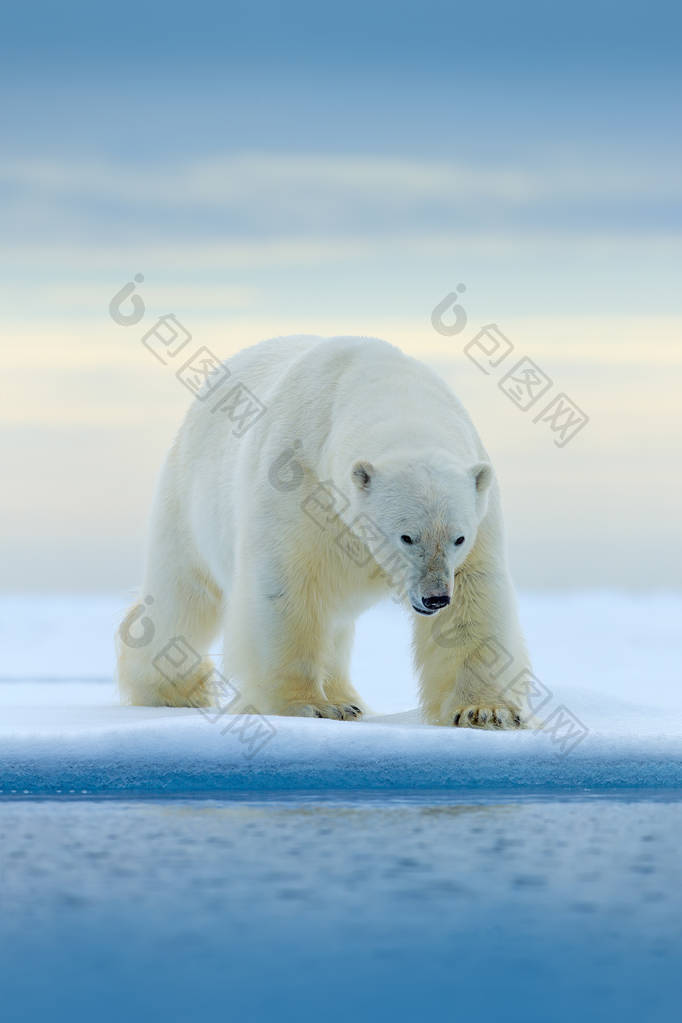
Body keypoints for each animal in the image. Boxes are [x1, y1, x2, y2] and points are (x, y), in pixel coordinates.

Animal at [117, 335, 532, 728]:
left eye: (458, 538)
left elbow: (474, 597)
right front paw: (309, 705)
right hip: (188, 499)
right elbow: (286, 586)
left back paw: (347, 698)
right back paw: (173, 689)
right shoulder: (298, 477)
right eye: (405, 536)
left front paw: (487, 711)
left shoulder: (480, 508)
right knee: (183, 596)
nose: (435, 598)